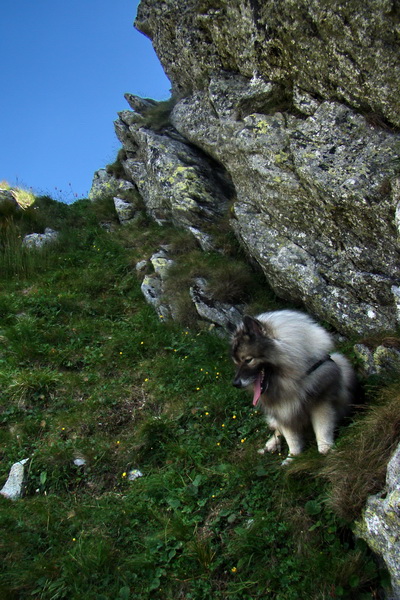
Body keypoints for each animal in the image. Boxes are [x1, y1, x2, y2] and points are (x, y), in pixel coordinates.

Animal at [230, 310, 358, 464]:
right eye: (236, 363)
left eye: (248, 360)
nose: (235, 384)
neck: (289, 380)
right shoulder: (283, 411)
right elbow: (292, 438)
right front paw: (293, 457)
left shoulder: (321, 402)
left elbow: (323, 428)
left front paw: (326, 449)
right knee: (277, 430)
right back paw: (271, 444)